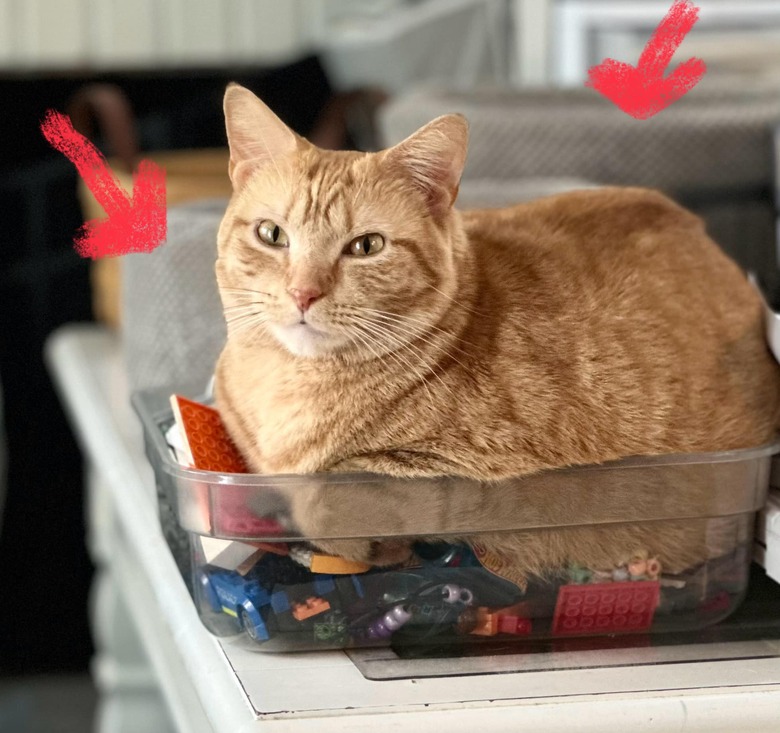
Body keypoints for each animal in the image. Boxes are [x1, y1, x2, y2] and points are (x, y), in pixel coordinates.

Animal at [212, 84, 780, 576]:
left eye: (366, 246)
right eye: (272, 235)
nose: (303, 294)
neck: (287, 386)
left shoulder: (466, 474)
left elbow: (328, 493)